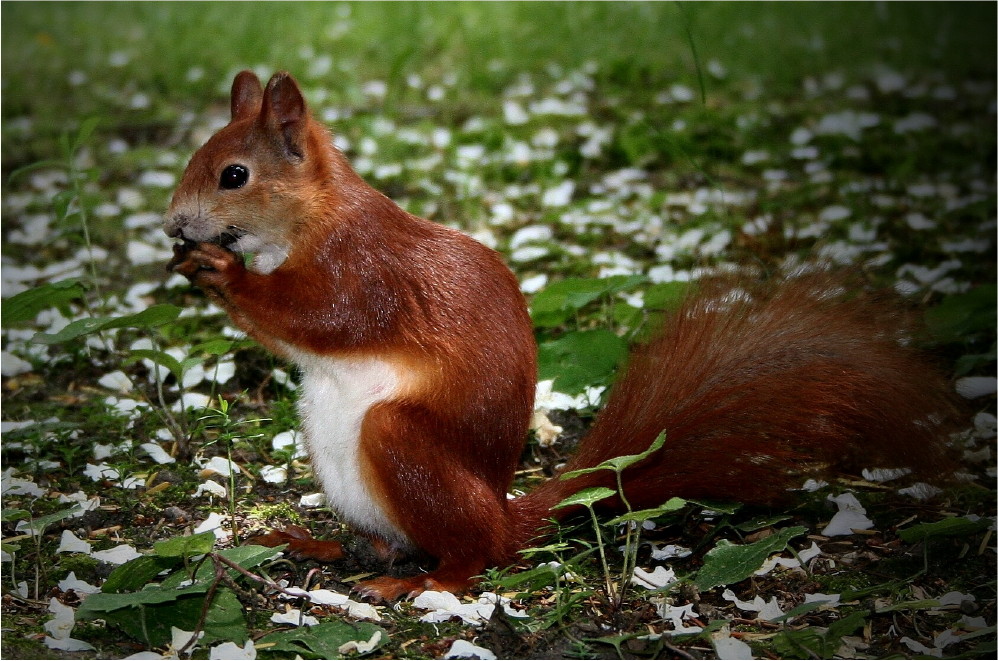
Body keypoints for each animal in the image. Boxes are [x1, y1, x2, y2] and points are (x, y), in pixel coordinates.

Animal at [168, 69, 956, 600]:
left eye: (234, 174)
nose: (175, 224)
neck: (314, 218)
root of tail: (503, 512)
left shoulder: (363, 272)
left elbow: (320, 316)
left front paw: (226, 274)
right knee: (390, 542)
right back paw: (322, 546)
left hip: (403, 446)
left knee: (473, 553)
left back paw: (422, 581)